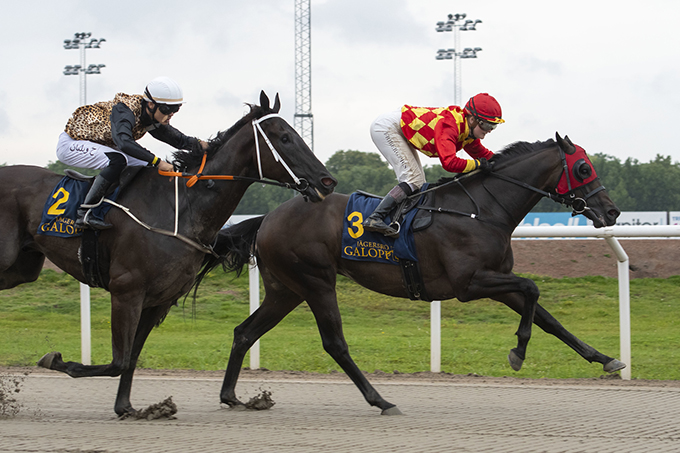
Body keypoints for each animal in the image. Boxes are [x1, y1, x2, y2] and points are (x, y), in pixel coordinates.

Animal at [0, 90, 338, 414]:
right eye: (285, 137)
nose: (327, 181)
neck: (180, 207)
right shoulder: (127, 291)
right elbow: (118, 361)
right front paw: (57, 360)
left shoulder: (158, 300)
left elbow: (131, 357)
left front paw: (130, 408)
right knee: (116, 157)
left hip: (22, 268)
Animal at [198, 133, 628, 414]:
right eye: (583, 167)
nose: (612, 211)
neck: (481, 210)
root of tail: (268, 217)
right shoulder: (469, 283)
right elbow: (533, 288)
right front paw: (518, 352)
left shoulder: (496, 281)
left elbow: (548, 318)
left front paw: (606, 358)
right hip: (315, 282)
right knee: (335, 344)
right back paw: (381, 400)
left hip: (286, 289)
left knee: (244, 332)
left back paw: (231, 396)